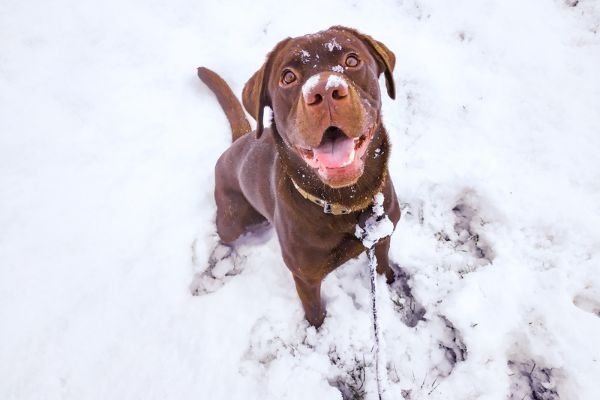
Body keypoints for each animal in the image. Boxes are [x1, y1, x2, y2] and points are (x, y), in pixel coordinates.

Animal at [199, 25, 400, 326]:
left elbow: (383, 268)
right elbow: (315, 312)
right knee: (224, 233)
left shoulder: (382, 238)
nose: (325, 90)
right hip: (231, 219)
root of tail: (240, 138)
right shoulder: (306, 277)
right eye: (288, 77)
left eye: (352, 60)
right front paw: (316, 330)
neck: (346, 202)